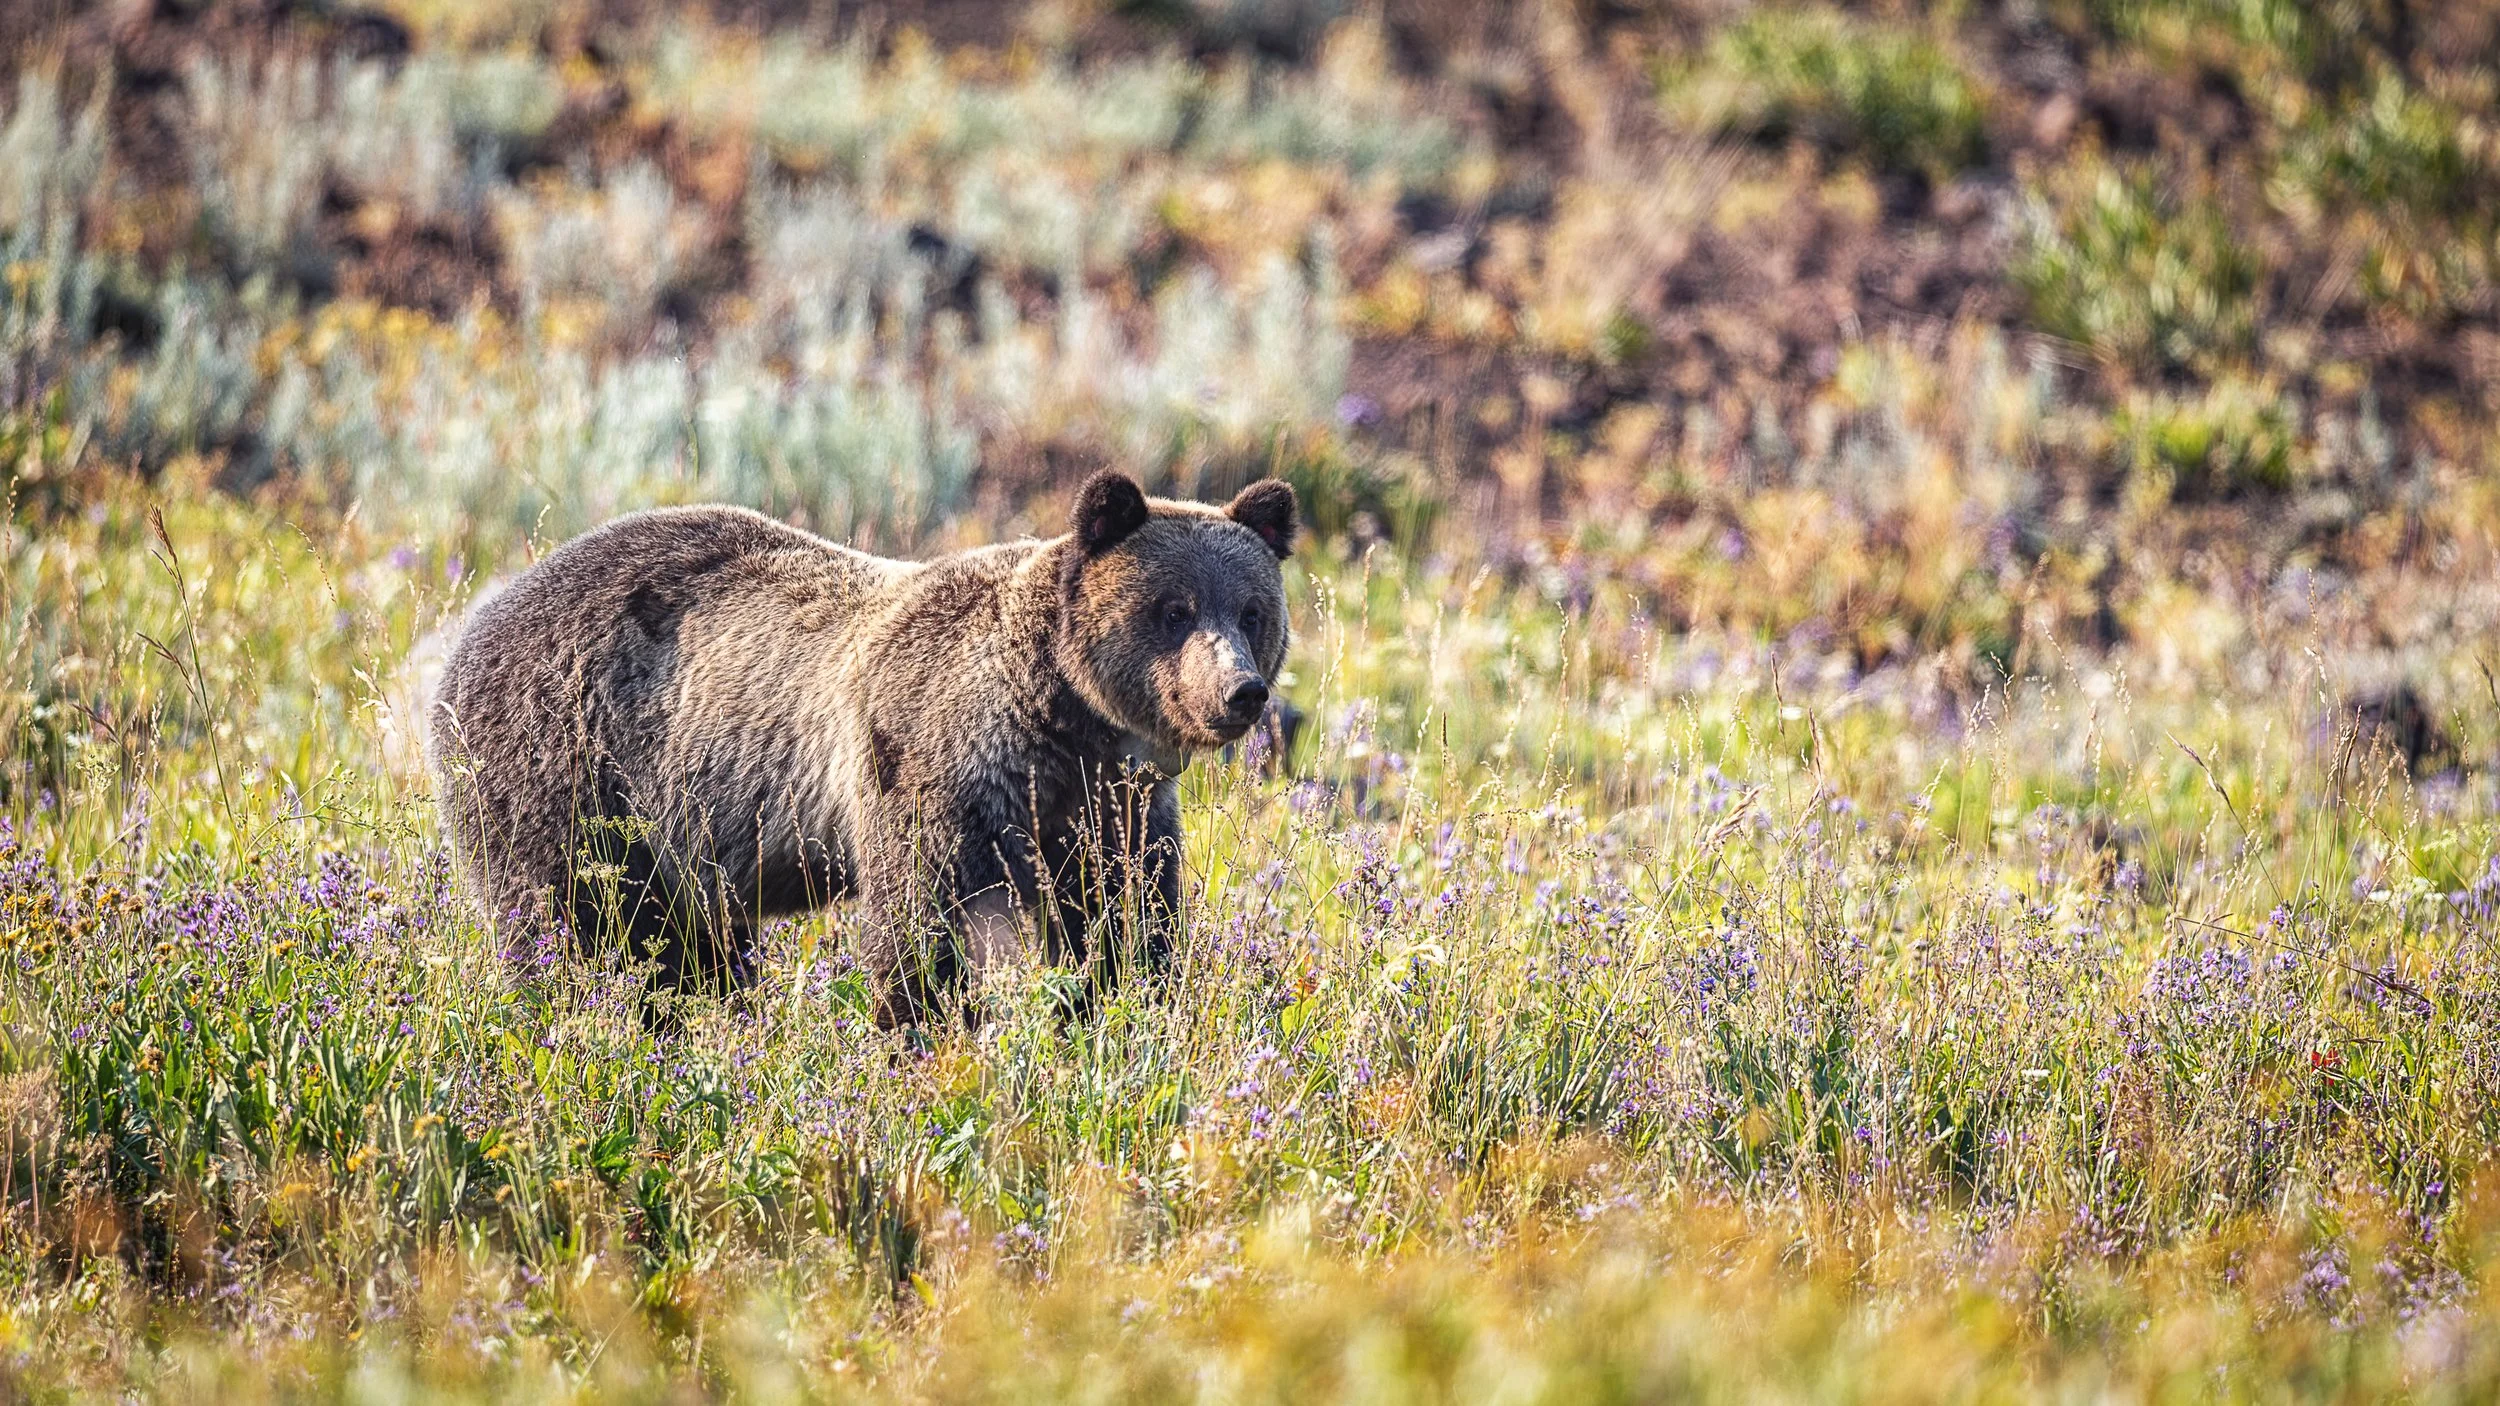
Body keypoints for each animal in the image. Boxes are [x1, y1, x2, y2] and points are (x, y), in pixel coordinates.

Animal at [429, 471, 1296, 1024]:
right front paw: (923, 1035)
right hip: (568, 774)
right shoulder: (929, 766)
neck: (1052, 723)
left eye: (1252, 610)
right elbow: (921, 929)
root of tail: (468, 632)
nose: (1241, 693)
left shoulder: (1106, 801)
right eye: (1173, 610)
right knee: (569, 928)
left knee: (691, 955)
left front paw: (1122, 1012)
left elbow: (1126, 917)